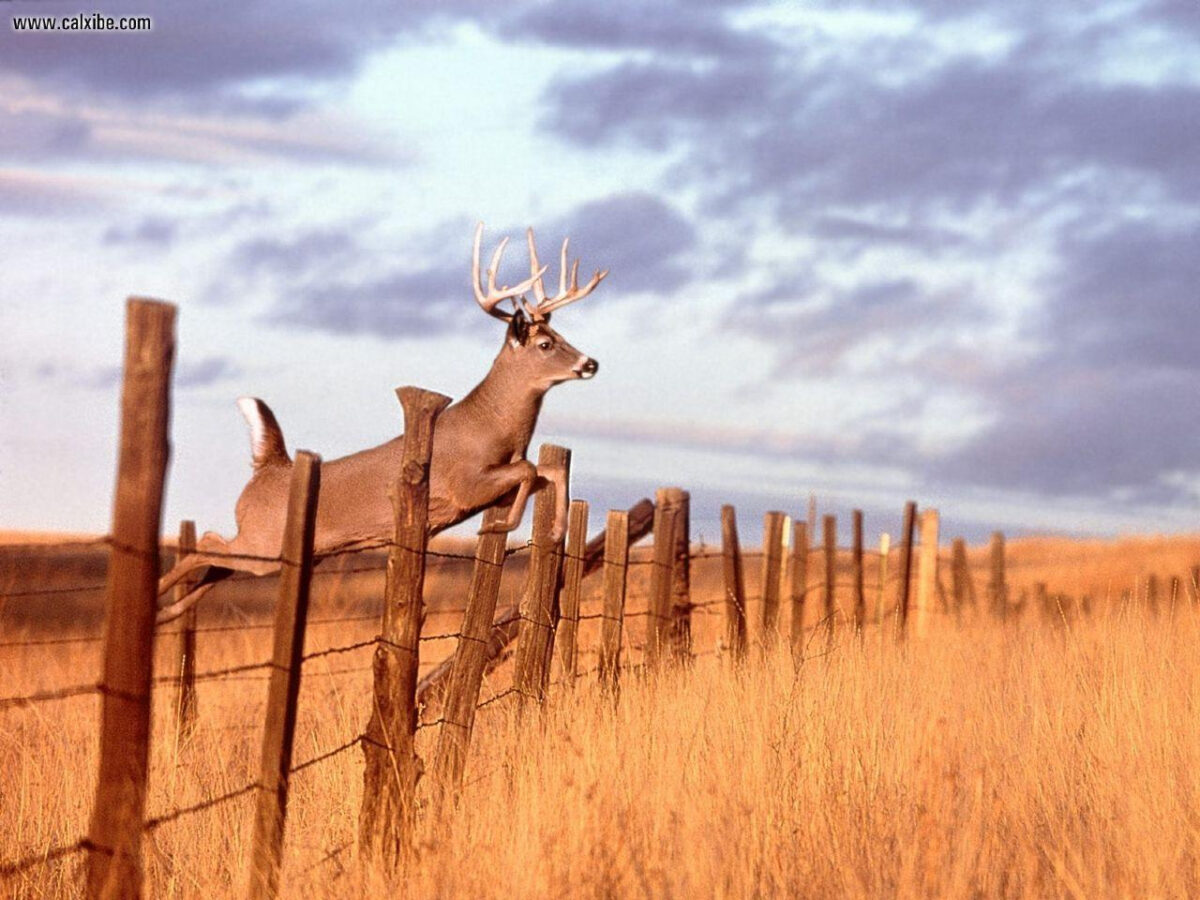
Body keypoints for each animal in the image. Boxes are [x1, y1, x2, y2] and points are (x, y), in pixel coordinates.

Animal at [157, 222, 609, 624]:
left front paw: (556, 531)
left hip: (276, 550)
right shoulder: (464, 485)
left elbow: (546, 469)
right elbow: (530, 469)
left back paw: (167, 612)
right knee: (207, 542)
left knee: (217, 562)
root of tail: (270, 469)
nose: (590, 363)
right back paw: (155, 597)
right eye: (545, 343)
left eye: (561, 336)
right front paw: (505, 527)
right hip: (265, 540)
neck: (493, 428)